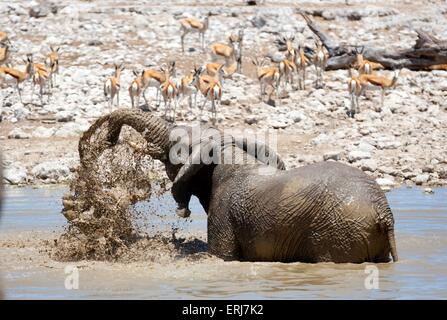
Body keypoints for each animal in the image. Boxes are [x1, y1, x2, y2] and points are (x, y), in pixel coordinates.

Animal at [79, 109, 400, 264]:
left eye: (177, 144)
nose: (108, 138)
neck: (226, 151)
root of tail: (384, 213)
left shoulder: (224, 213)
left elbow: (222, 255)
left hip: (337, 233)